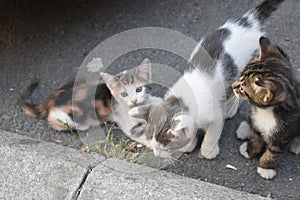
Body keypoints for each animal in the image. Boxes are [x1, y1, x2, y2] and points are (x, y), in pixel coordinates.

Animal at [127, 0, 284, 159]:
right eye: (150, 142)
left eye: (163, 146)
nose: (156, 154)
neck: (182, 100)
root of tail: (248, 22)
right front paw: (189, 144)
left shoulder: (216, 114)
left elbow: (212, 133)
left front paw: (208, 150)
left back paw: (231, 108)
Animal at [232, 36, 300, 180]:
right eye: (239, 75)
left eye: (242, 88)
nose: (232, 85)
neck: (267, 112)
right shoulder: (258, 123)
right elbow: (256, 137)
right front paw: (249, 150)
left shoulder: (283, 134)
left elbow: (273, 153)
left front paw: (266, 168)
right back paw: (245, 128)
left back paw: (297, 144)